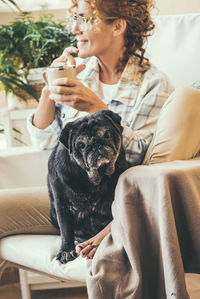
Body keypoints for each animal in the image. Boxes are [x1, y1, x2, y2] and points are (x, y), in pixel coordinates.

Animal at [47, 110, 127, 264]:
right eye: (81, 145)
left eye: (107, 134)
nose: (96, 144)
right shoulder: (62, 205)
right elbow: (65, 230)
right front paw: (66, 251)